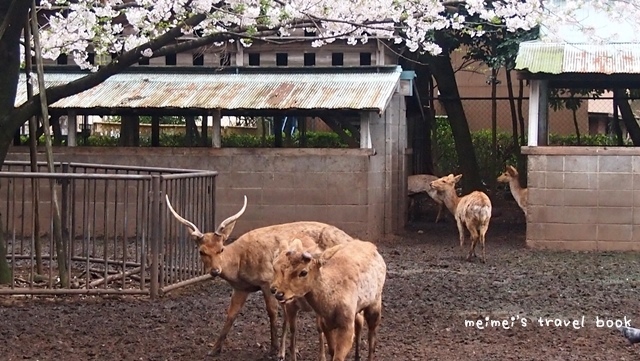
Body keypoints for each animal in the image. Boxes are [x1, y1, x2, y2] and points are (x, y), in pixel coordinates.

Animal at [164, 195, 356, 358]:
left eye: (221, 249)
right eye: (201, 251)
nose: (215, 271)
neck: (240, 263)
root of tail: (349, 238)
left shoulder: (265, 280)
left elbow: (272, 312)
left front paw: (274, 348)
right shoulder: (241, 288)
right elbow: (231, 314)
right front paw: (214, 349)